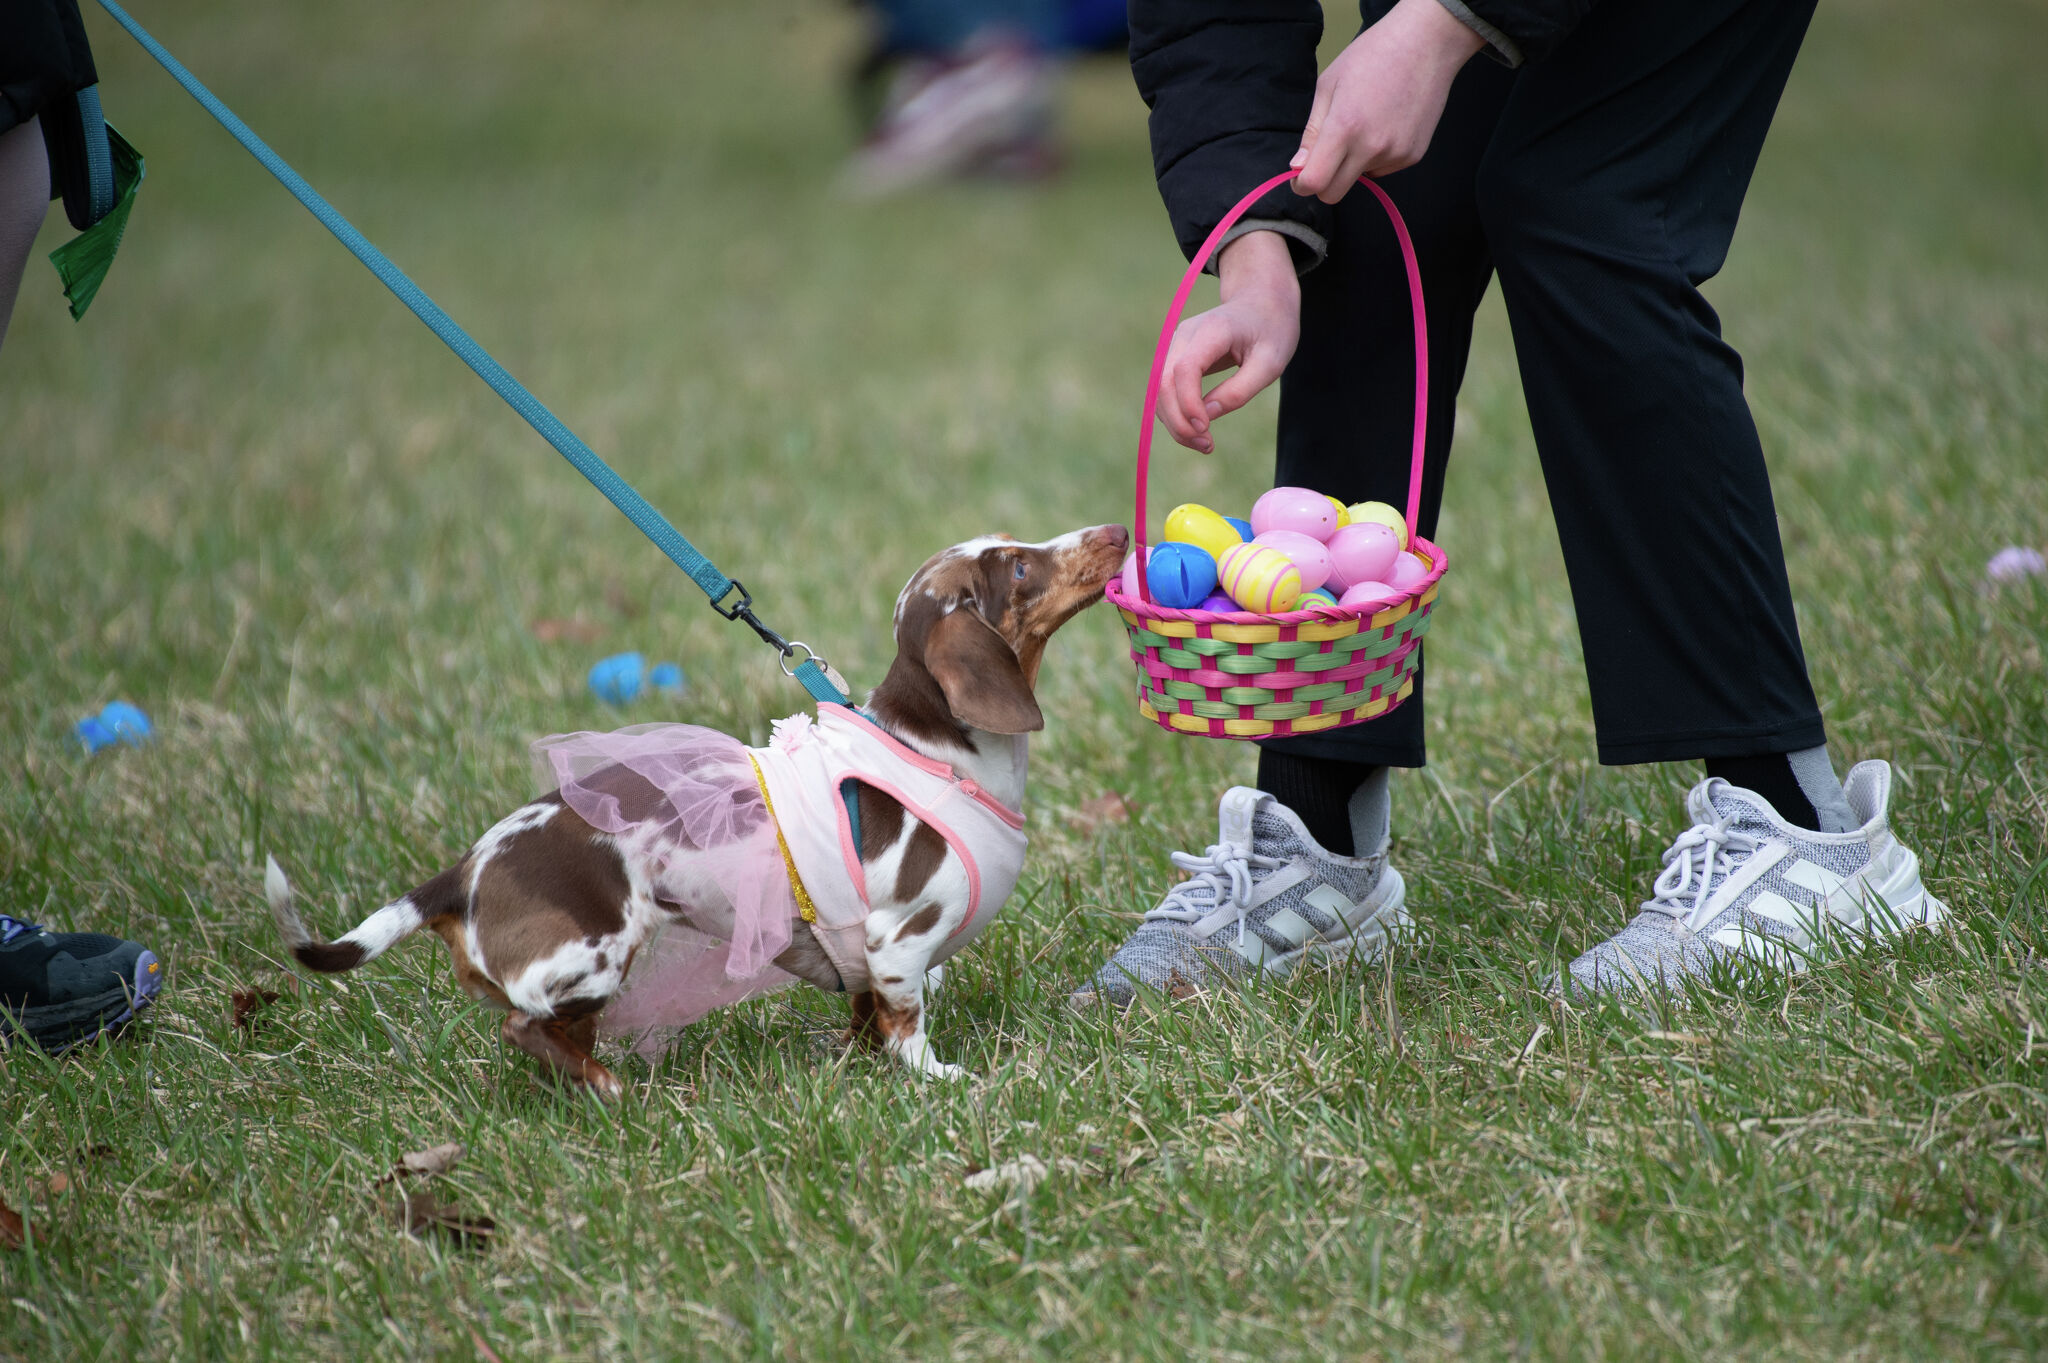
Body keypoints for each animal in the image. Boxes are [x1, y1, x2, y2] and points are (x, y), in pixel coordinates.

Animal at [262, 519, 1130, 1096]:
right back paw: (609, 1087)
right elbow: (908, 1024)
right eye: (1018, 569)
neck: (940, 752)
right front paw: (942, 1077)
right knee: (525, 1025)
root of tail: (465, 869)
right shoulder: (898, 942)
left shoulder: (862, 961)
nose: (1117, 529)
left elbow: (867, 1019)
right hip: (595, 952)